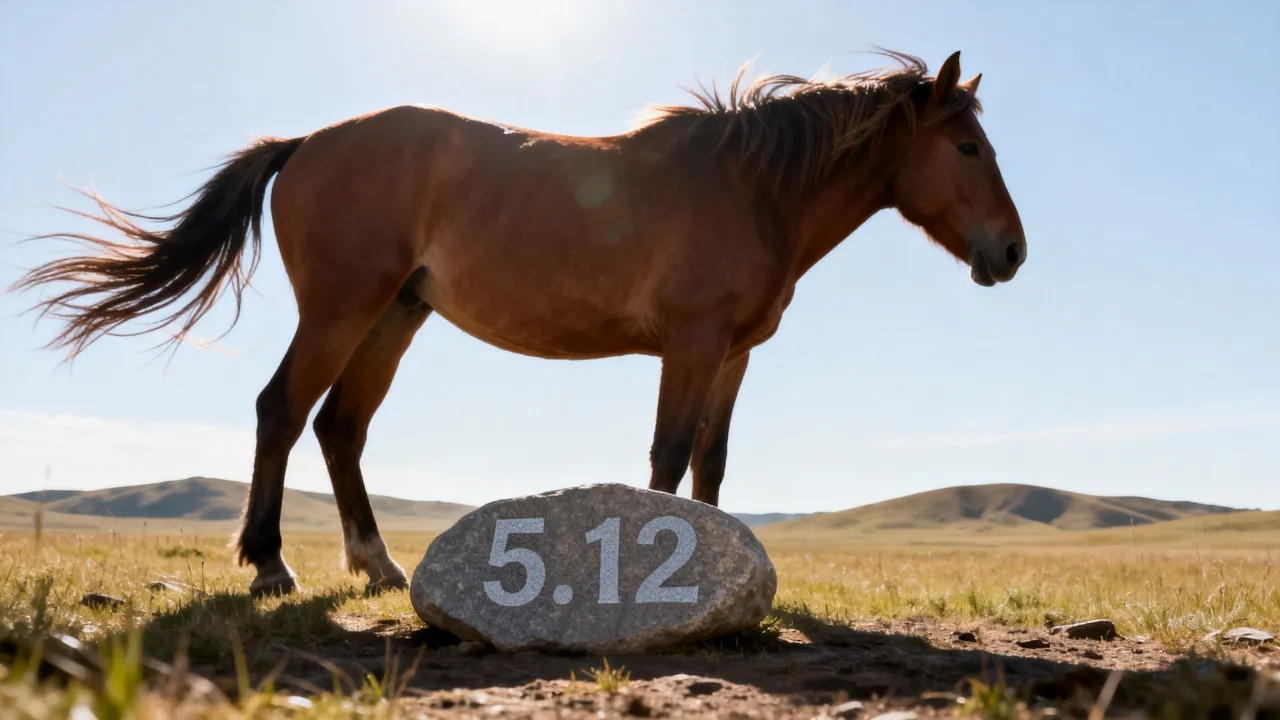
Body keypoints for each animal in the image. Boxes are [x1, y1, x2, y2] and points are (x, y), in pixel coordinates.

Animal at [12, 50, 1026, 597]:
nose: (1012, 253)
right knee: (283, 411)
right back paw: (270, 566)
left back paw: (376, 565)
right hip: (343, 309)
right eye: (967, 146)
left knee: (340, 427)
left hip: (395, 316)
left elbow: (711, 464)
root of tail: (304, 143)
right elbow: (667, 459)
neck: (751, 188)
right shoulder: (692, 345)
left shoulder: (734, 355)